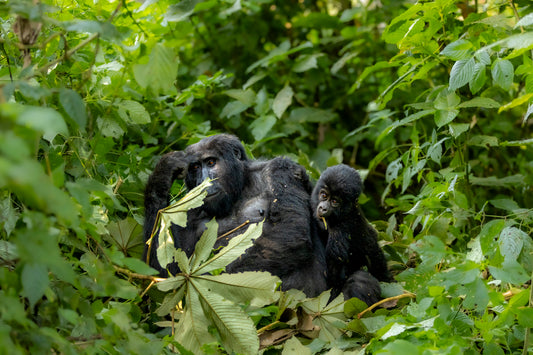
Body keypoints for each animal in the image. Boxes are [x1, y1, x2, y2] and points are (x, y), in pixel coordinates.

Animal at [145, 135, 328, 296]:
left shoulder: (282, 168)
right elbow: (165, 274)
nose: (203, 181)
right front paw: (163, 173)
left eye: (211, 162)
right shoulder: (187, 209)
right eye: (195, 167)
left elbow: (289, 229)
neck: (240, 186)